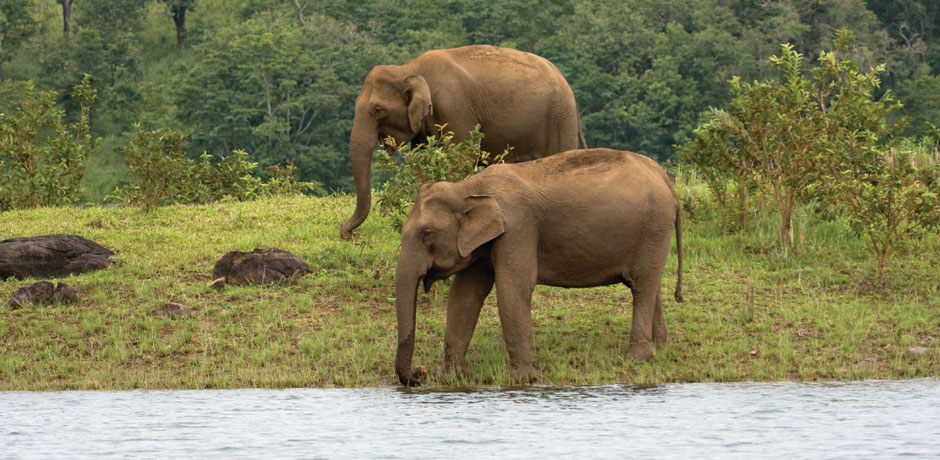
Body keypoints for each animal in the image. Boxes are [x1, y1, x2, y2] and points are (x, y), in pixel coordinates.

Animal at [338, 44, 588, 239]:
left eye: (377, 110)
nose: (349, 234)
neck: (409, 68)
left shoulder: (455, 107)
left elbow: (464, 158)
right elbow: (422, 162)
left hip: (559, 118)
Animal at [390, 148, 684, 384]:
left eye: (427, 234)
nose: (420, 373)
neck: (467, 188)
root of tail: (664, 178)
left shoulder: (518, 227)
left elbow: (513, 288)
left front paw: (521, 379)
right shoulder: (484, 242)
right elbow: (465, 295)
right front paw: (451, 376)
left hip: (654, 227)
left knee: (642, 285)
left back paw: (637, 358)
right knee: (649, 284)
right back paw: (661, 347)